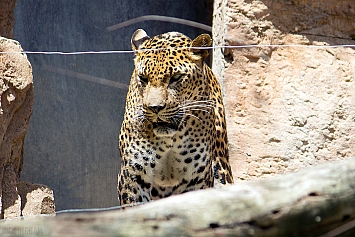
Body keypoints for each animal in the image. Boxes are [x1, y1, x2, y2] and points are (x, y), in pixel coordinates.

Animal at [117, 28, 234, 205]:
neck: (169, 139)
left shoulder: (197, 177)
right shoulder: (133, 175)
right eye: (143, 78)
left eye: (176, 77)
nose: (155, 108)